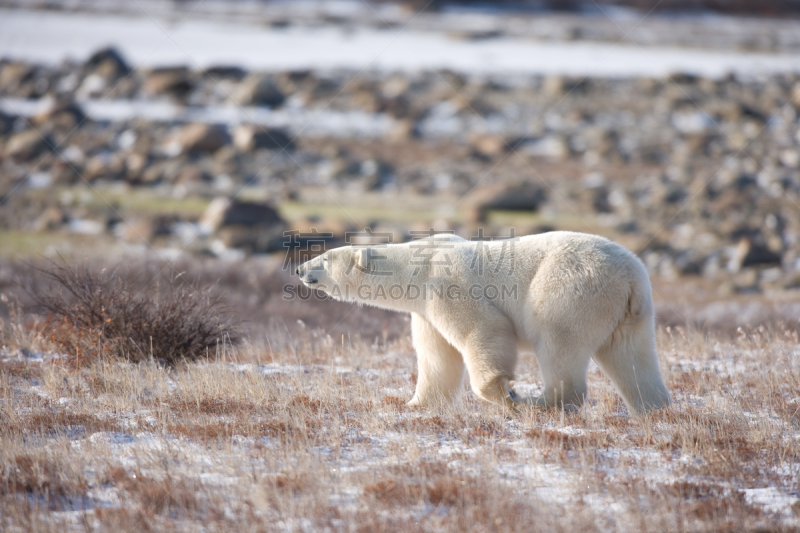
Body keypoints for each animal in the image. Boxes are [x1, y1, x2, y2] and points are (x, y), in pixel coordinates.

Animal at [294, 231, 668, 414]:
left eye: (323, 258)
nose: (298, 269)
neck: (418, 266)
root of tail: (631, 278)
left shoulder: (447, 284)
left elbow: (483, 329)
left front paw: (503, 393)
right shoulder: (425, 310)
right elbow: (437, 357)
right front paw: (417, 403)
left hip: (571, 289)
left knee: (559, 342)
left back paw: (538, 403)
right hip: (632, 314)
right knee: (632, 358)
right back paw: (654, 407)